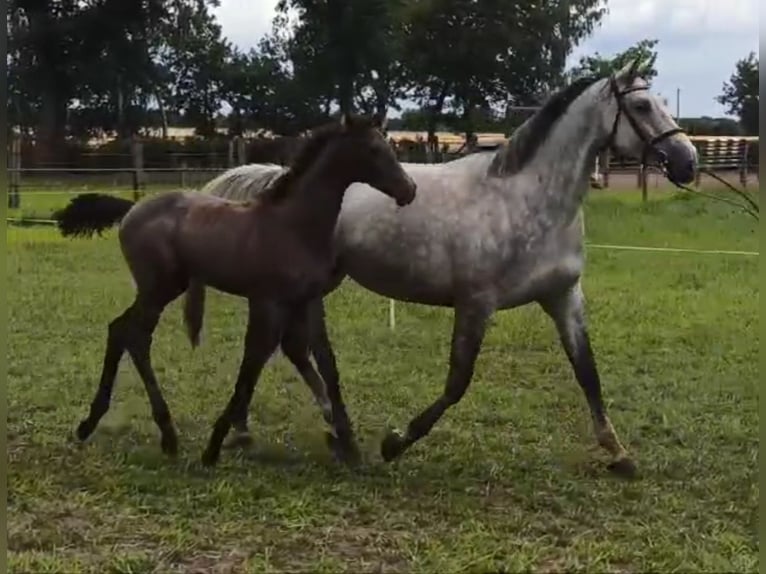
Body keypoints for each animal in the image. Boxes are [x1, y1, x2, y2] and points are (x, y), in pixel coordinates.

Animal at [75, 113, 416, 468]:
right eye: (374, 150)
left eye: (388, 146)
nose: (409, 189)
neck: (294, 225)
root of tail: (131, 210)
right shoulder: (268, 300)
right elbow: (253, 362)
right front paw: (215, 445)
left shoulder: (306, 300)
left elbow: (325, 363)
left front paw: (348, 444)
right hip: (159, 288)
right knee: (136, 336)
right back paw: (164, 434)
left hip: (164, 288)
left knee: (120, 329)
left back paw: (93, 423)